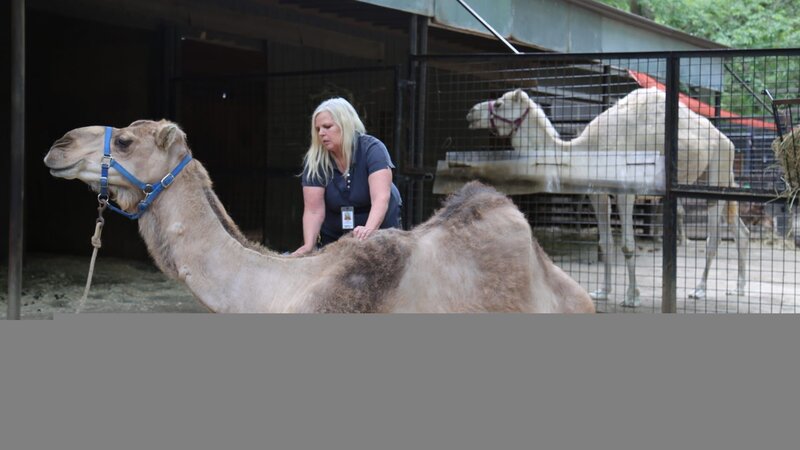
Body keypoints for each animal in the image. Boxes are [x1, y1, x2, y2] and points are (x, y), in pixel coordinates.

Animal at [466, 87, 750, 306]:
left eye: (499, 103)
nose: (470, 113)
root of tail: (728, 140)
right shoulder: (598, 193)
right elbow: (605, 242)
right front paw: (603, 291)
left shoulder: (626, 190)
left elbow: (627, 245)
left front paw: (632, 297)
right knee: (740, 230)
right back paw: (738, 287)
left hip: (717, 171)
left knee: (714, 236)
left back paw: (699, 289)